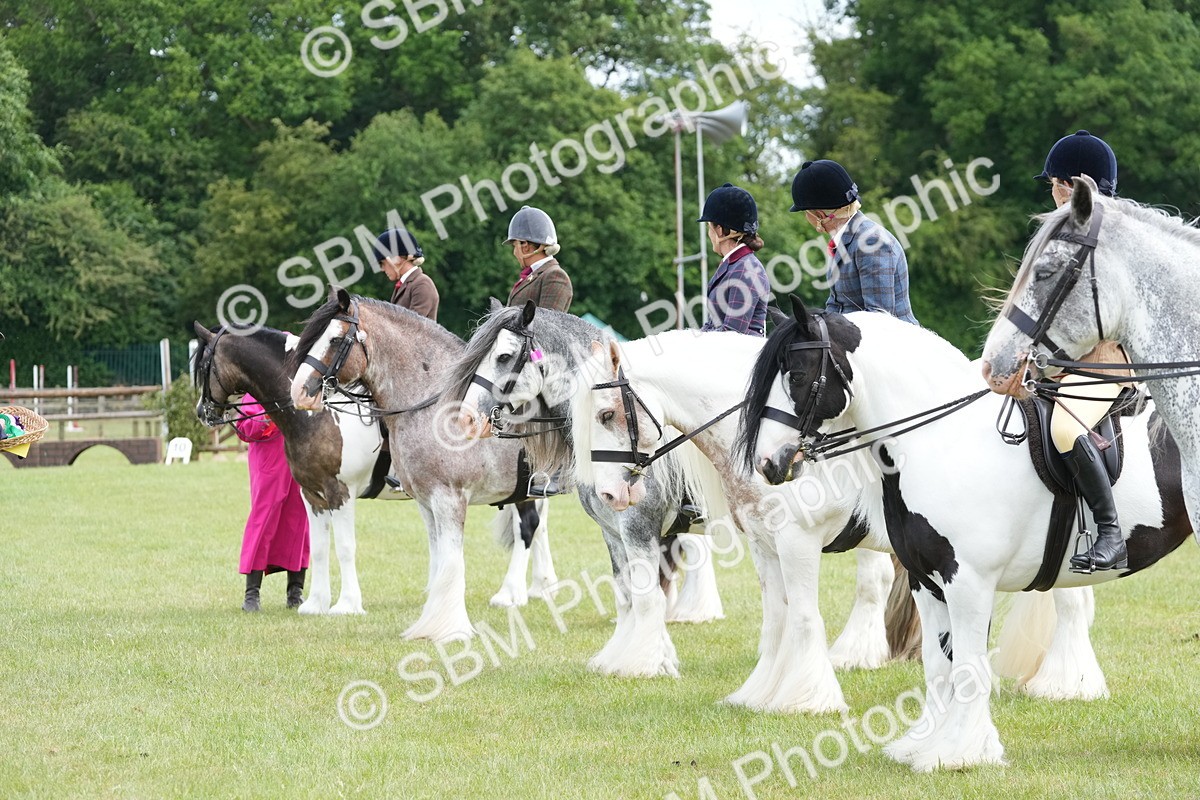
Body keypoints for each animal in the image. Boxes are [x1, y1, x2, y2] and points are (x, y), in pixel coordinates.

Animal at [192, 322, 555, 619]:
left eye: (204, 365)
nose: (202, 413)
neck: (319, 413)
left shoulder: (340, 492)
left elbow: (345, 547)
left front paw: (347, 604)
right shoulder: (311, 494)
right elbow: (319, 547)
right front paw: (315, 604)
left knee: (527, 527)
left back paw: (510, 594)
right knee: (539, 528)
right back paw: (541, 586)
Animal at [439, 301, 734, 678]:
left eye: (504, 356)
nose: (463, 419)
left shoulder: (638, 528)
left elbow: (646, 595)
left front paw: (643, 662)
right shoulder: (612, 530)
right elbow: (627, 594)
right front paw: (635, 656)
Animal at [739, 298, 1191, 770]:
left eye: (797, 375)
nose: (769, 464)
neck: (938, 439)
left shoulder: (968, 581)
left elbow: (969, 667)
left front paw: (964, 753)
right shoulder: (925, 581)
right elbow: (940, 666)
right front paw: (924, 746)